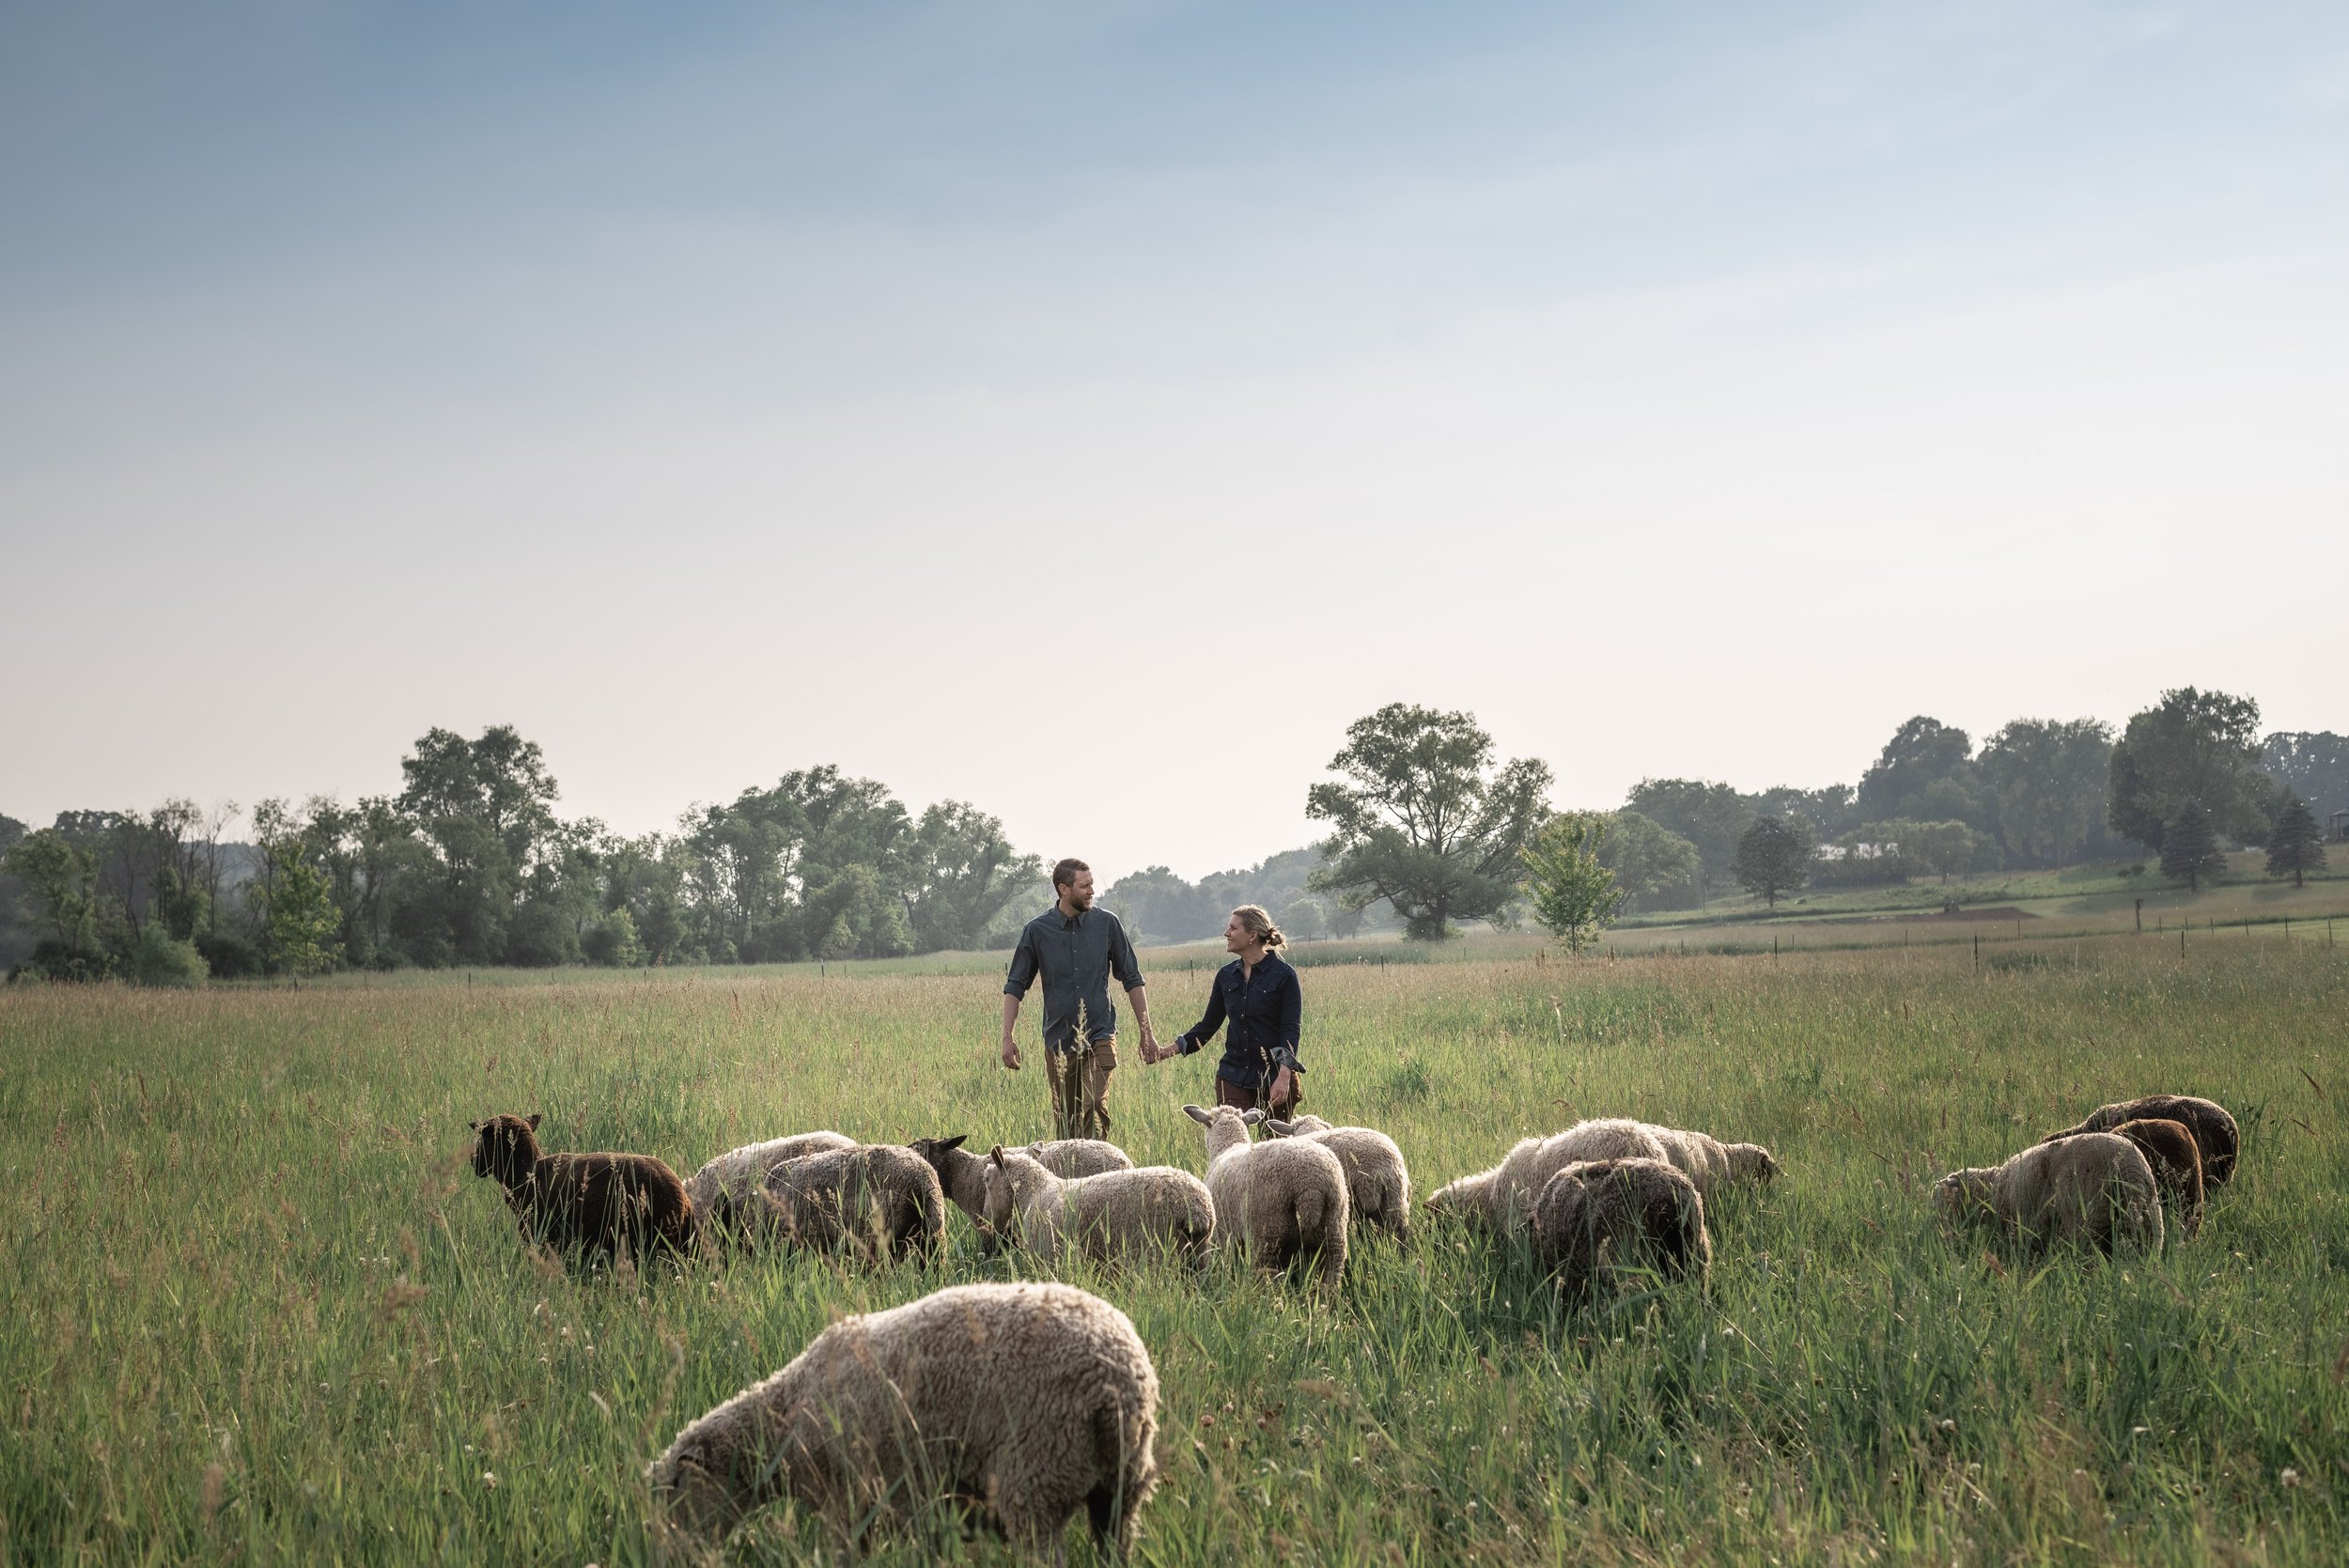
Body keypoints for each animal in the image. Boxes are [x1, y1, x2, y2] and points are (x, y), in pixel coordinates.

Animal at [650, 1281, 1160, 1557]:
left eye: (674, 1487)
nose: (672, 1550)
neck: (786, 1421)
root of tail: (1119, 1381)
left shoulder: (849, 1500)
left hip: (1037, 1477)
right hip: (1121, 1487)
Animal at [980, 1146, 1215, 1269]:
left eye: (986, 1179)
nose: (986, 1220)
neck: (1035, 1192)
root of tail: (1197, 1208)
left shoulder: (1049, 1258)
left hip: (1155, 1252)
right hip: (1198, 1254)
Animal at [1181, 1104, 1349, 1299]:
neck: (1229, 1146)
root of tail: (1310, 1185)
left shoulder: (1223, 1237)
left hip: (1268, 1234)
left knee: (1268, 1281)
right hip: (1334, 1231)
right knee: (1331, 1279)